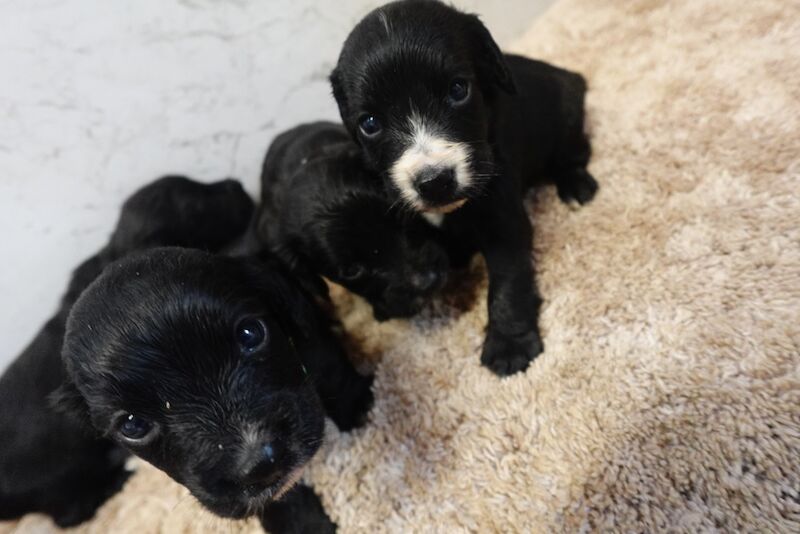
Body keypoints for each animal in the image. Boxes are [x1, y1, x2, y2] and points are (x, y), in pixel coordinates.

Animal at [56, 249, 376, 532]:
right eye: (133, 425)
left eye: (251, 333)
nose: (260, 464)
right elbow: (276, 498)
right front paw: (302, 525)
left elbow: (325, 363)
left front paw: (357, 407)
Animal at [328, 0, 596, 376]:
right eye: (369, 124)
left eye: (458, 90)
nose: (434, 182)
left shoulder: (504, 222)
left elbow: (508, 281)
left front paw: (509, 345)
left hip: (566, 117)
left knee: (575, 151)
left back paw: (576, 186)